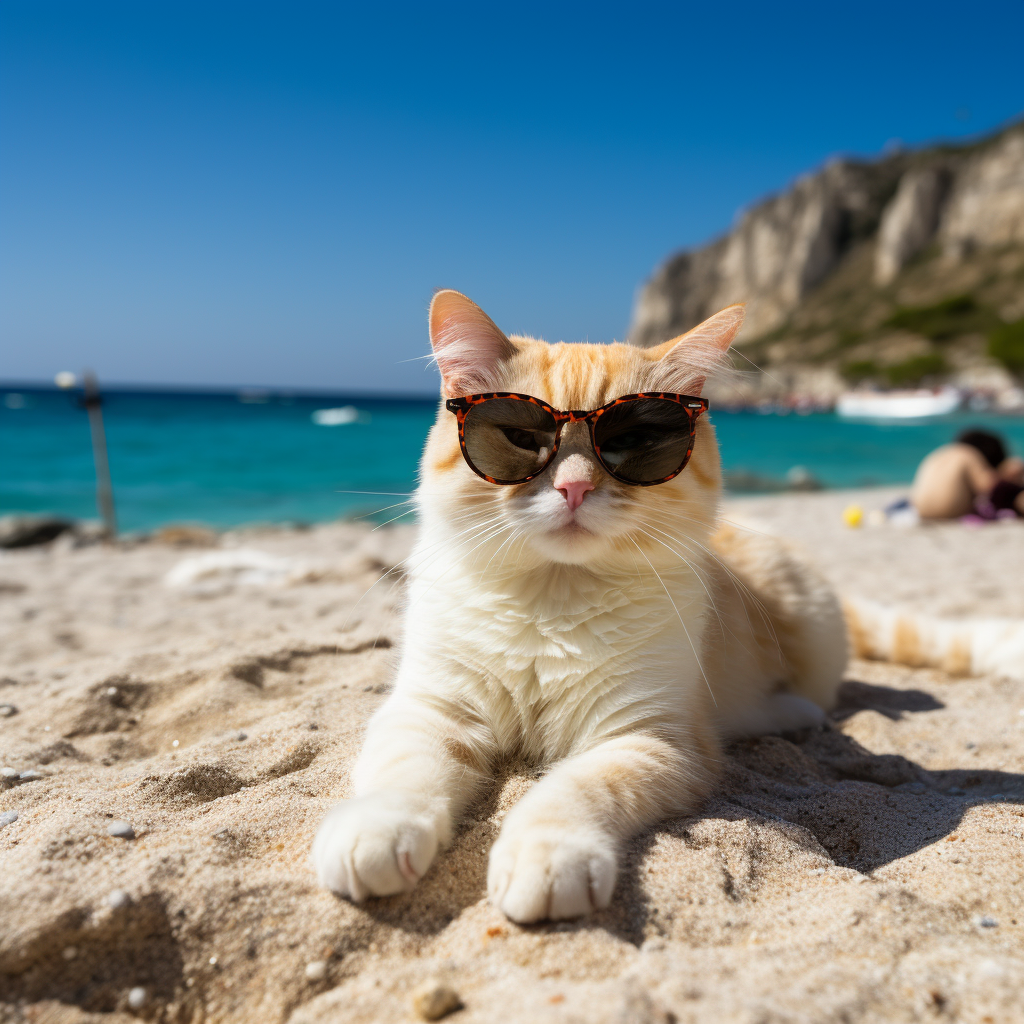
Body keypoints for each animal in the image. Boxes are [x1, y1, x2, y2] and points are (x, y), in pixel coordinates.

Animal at [311, 288, 847, 921]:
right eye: (521, 438)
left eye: (629, 441)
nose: (574, 487)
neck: (551, 598)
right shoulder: (432, 709)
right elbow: (404, 773)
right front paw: (374, 831)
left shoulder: (648, 739)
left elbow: (576, 788)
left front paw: (548, 859)